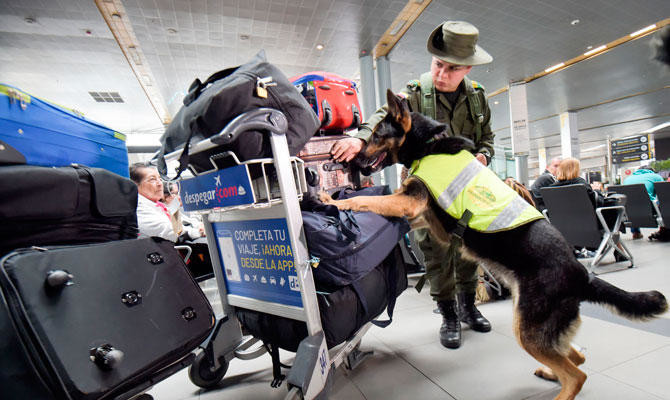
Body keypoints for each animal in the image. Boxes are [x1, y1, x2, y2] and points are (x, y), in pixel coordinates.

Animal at [322, 90, 668, 400]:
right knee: (577, 357)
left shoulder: (408, 204)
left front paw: (331, 200)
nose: (351, 161)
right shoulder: (423, 216)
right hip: (536, 326)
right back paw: (550, 373)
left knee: (577, 375)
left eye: (377, 134)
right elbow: (377, 203)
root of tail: (582, 274)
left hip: (527, 330)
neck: (429, 145)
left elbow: (369, 200)